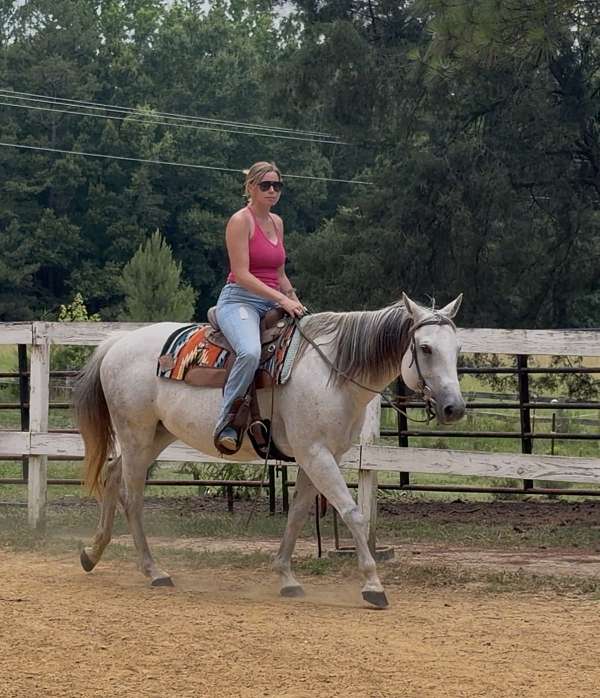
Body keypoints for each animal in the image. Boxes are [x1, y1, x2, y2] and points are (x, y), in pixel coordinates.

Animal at [74, 293, 465, 608]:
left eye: (458, 350)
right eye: (426, 348)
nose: (454, 408)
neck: (332, 373)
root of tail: (119, 341)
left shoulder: (317, 457)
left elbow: (298, 515)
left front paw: (286, 578)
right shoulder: (317, 454)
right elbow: (353, 514)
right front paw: (372, 585)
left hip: (156, 435)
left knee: (112, 475)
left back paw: (92, 553)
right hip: (136, 435)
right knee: (132, 497)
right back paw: (154, 570)